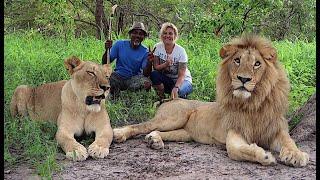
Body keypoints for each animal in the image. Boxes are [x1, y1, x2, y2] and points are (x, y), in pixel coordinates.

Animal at [114, 35, 308, 167]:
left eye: (257, 63)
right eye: (237, 60)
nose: (243, 79)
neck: (253, 104)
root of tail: (170, 99)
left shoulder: (276, 128)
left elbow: (289, 140)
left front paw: (296, 155)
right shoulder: (235, 131)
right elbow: (235, 150)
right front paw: (265, 155)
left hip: (185, 132)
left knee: (156, 131)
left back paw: (154, 140)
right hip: (173, 117)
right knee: (141, 126)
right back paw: (119, 134)